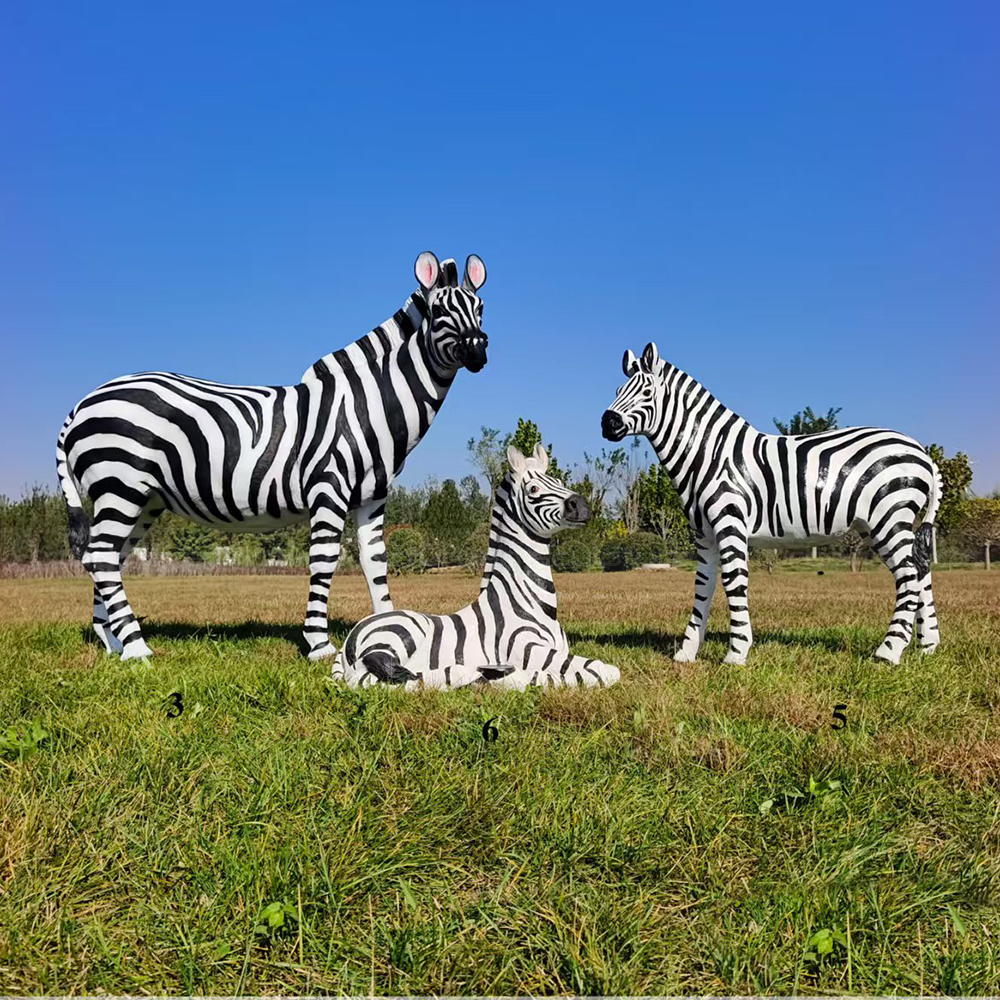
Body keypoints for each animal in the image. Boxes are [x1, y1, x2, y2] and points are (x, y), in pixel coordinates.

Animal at [56, 251, 489, 662]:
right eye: (439, 312)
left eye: (481, 307)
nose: (478, 350)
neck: (368, 407)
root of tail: (82, 403)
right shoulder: (328, 488)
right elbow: (324, 561)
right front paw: (318, 645)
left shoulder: (372, 498)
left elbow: (375, 563)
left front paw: (390, 630)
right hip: (120, 486)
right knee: (102, 555)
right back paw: (137, 648)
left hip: (143, 499)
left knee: (107, 557)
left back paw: (114, 644)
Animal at [335, 444, 622, 690]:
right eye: (534, 490)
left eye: (559, 483)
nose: (582, 505)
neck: (532, 603)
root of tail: (350, 637)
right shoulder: (527, 648)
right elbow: (604, 671)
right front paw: (526, 679)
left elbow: (600, 669)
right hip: (401, 632)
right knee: (379, 674)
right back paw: (471, 674)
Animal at [601, 342, 942, 666]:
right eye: (617, 391)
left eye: (647, 393)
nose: (607, 422)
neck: (712, 455)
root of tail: (923, 452)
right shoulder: (704, 534)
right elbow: (703, 587)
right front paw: (687, 652)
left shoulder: (730, 524)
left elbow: (733, 582)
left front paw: (736, 653)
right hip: (884, 525)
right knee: (920, 568)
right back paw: (927, 646)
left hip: (889, 519)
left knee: (908, 575)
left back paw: (890, 650)